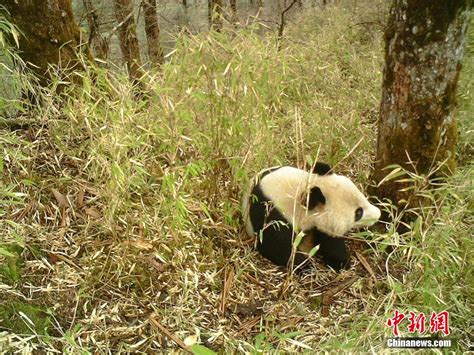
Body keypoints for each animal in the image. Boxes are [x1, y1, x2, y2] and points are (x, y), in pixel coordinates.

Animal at [243, 163, 380, 272]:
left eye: (362, 196)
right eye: (358, 213)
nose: (378, 214)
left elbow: (330, 240)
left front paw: (340, 262)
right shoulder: (273, 214)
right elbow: (275, 246)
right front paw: (305, 266)